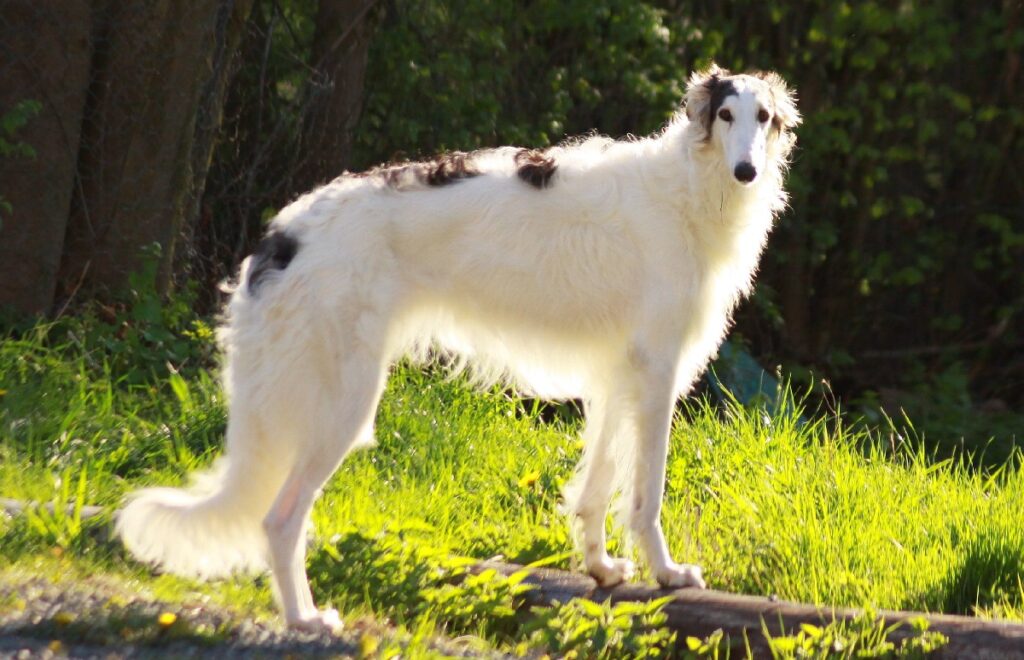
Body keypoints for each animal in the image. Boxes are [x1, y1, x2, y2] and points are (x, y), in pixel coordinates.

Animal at [114, 64, 798, 630]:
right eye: (726, 115)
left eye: (764, 117)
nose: (747, 171)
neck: (687, 190)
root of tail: (283, 236)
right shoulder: (657, 373)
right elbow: (645, 496)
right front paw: (668, 573)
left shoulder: (616, 377)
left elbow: (595, 489)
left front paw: (602, 569)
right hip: (343, 405)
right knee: (279, 520)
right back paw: (306, 620)